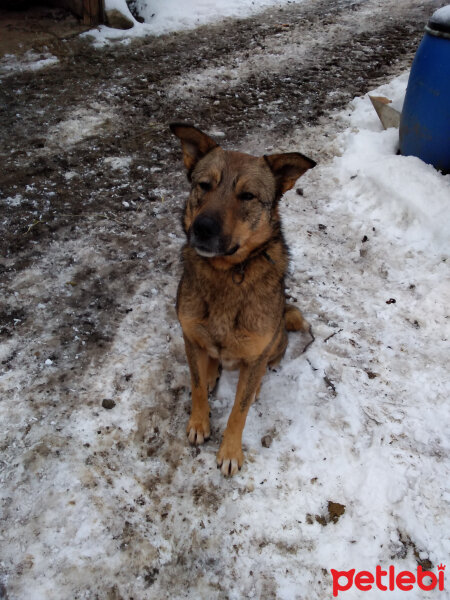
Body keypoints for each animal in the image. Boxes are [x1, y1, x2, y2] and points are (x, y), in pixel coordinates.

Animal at [171, 124, 314, 476]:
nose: (202, 228)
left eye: (247, 196)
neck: (226, 274)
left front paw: (230, 451)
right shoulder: (189, 334)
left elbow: (240, 408)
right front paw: (199, 422)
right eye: (204, 185)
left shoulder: (256, 352)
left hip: (274, 341)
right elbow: (196, 386)